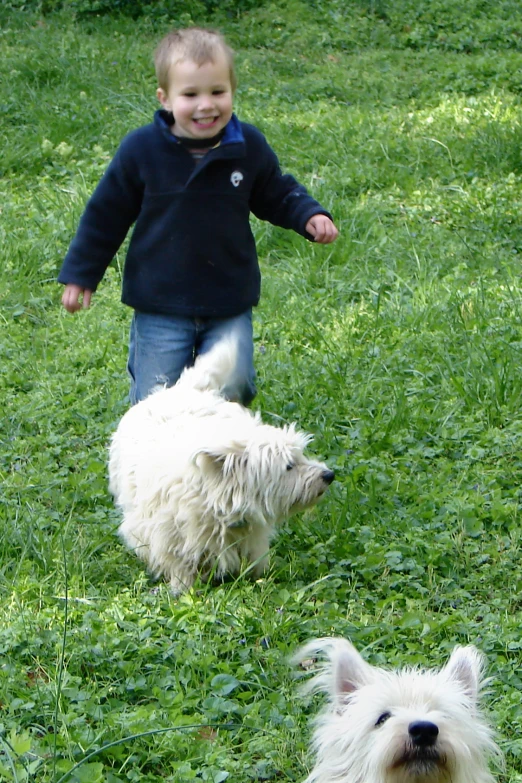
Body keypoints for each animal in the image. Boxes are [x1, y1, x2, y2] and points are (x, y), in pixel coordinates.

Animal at [108, 336, 334, 596]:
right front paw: (183, 589)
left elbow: (254, 560)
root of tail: (184, 388)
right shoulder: (168, 535)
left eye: (302, 455)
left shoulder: (251, 536)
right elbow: (179, 564)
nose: (329, 475)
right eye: (288, 466)